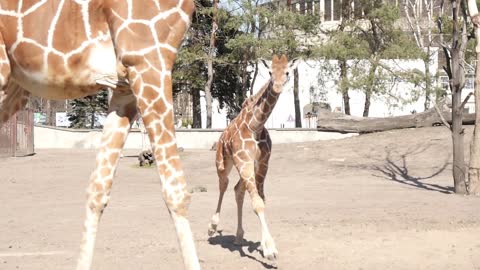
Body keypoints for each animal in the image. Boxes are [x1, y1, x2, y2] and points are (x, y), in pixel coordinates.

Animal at [208, 54, 298, 260]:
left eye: (287, 72)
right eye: (270, 72)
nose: (277, 86)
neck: (256, 125)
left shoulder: (263, 162)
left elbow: (261, 199)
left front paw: (264, 245)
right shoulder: (244, 160)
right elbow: (257, 203)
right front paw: (270, 250)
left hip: (246, 166)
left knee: (237, 190)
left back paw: (239, 237)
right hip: (223, 162)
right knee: (224, 185)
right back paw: (212, 226)